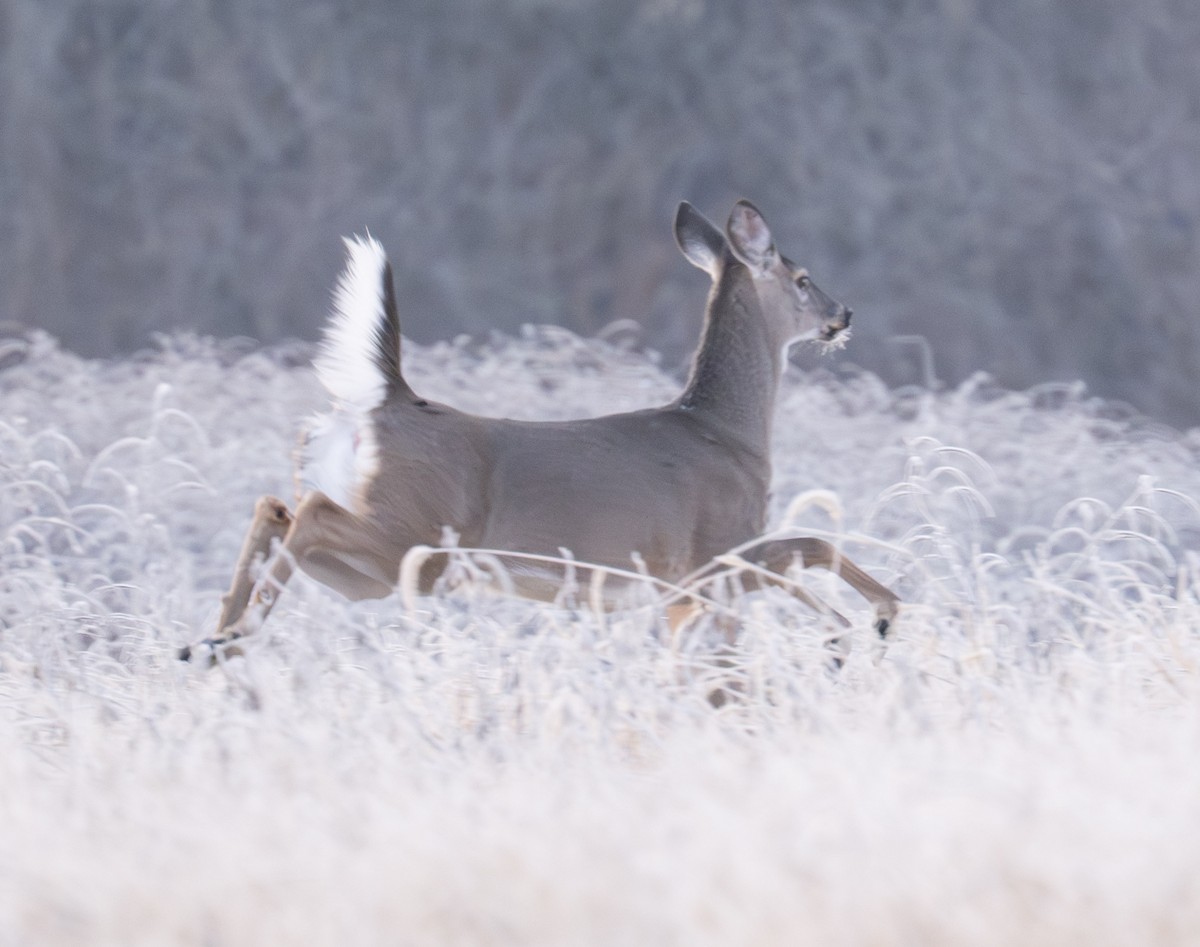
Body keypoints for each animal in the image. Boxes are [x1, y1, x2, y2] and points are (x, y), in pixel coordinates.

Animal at [180, 200, 899, 664]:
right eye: (803, 279)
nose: (845, 313)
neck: (726, 431)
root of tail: (389, 398)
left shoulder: (686, 581)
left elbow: (803, 551)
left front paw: (860, 624)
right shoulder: (713, 551)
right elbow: (808, 546)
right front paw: (863, 624)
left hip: (377, 571)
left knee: (276, 506)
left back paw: (208, 639)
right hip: (414, 535)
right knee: (311, 512)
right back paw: (231, 635)